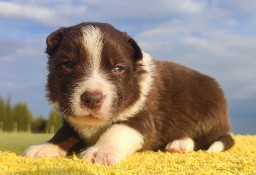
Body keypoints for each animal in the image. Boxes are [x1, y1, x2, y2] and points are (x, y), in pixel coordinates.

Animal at [24, 22, 234, 165]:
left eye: (118, 69)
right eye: (67, 64)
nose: (92, 98)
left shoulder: (142, 120)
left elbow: (116, 130)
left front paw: (99, 152)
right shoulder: (72, 122)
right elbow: (64, 133)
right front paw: (46, 147)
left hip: (209, 116)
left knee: (204, 139)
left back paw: (180, 143)